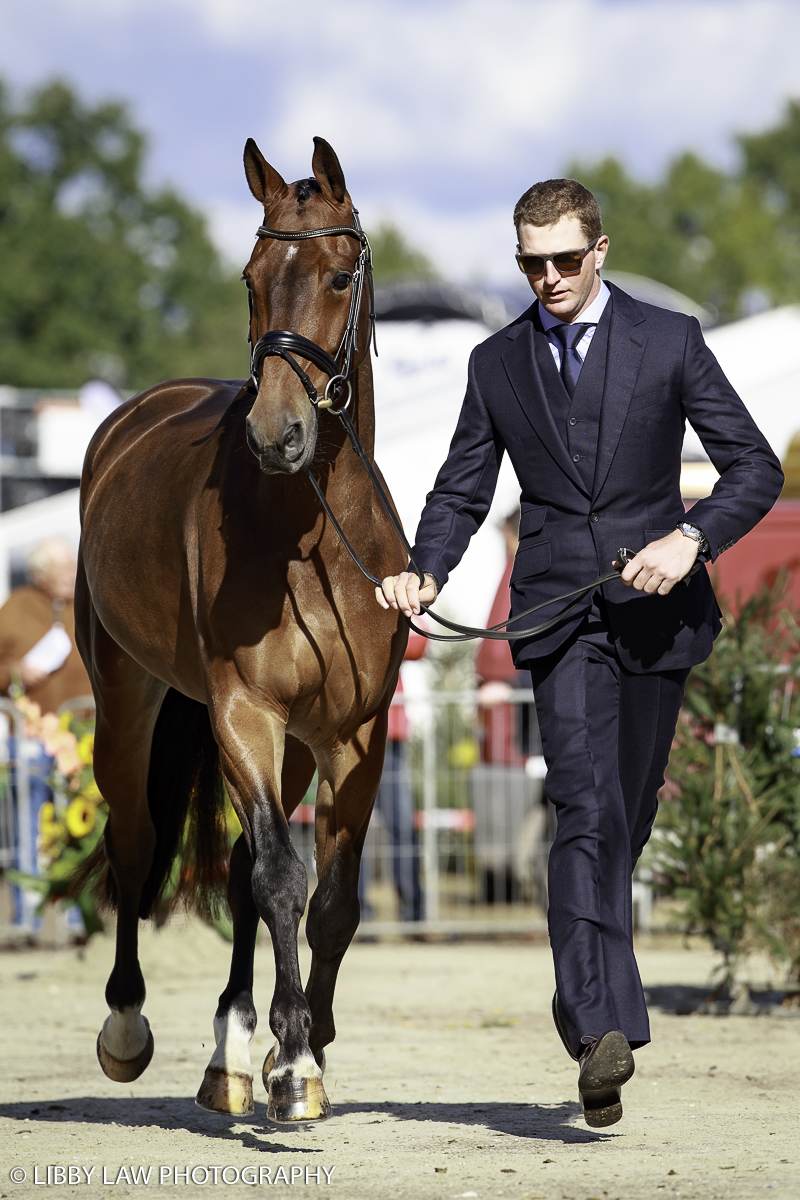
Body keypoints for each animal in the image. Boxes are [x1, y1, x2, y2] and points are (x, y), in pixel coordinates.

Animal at [76, 140, 407, 1123]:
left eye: (337, 276)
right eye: (252, 280)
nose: (276, 434)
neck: (312, 538)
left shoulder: (353, 735)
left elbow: (327, 898)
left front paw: (303, 1048)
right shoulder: (243, 712)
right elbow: (281, 879)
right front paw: (293, 1062)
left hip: (290, 745)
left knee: (231, 866)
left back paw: (229, 1048)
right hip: (131, 700)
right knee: (137, 841)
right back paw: (128, 1028)